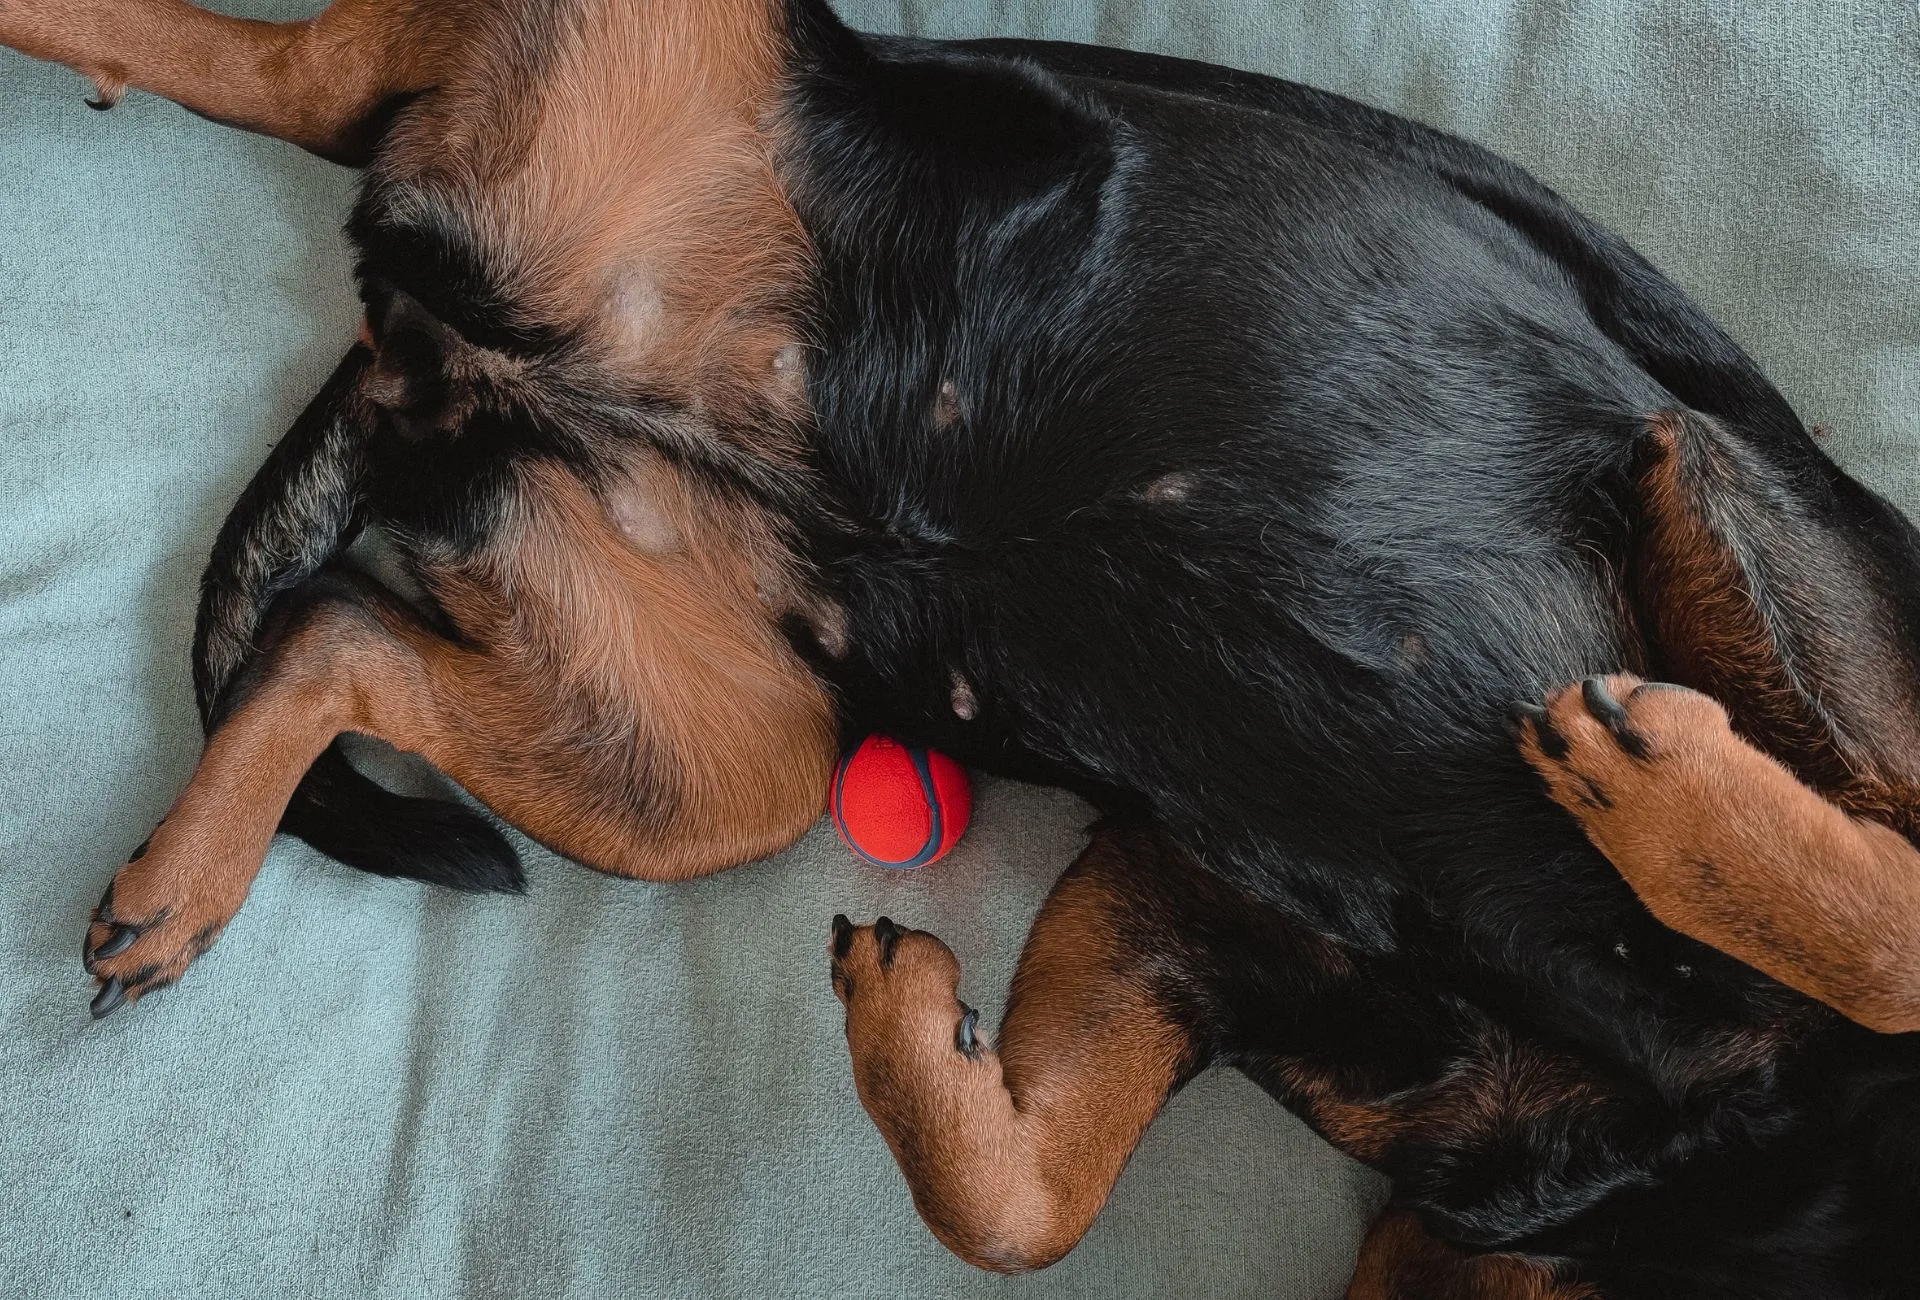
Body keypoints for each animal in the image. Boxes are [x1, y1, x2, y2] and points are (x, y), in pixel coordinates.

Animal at [15, 0, 1920, 1290]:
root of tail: (434, 353)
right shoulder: (1752, 522)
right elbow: (1891, 936)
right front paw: (1674, 798)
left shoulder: (1192, 909)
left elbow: (1019, 1206)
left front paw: (915, 1042)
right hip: (689, 59)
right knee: (317, 84)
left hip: (710, 771)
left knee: (337, 610)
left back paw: (186, 874)